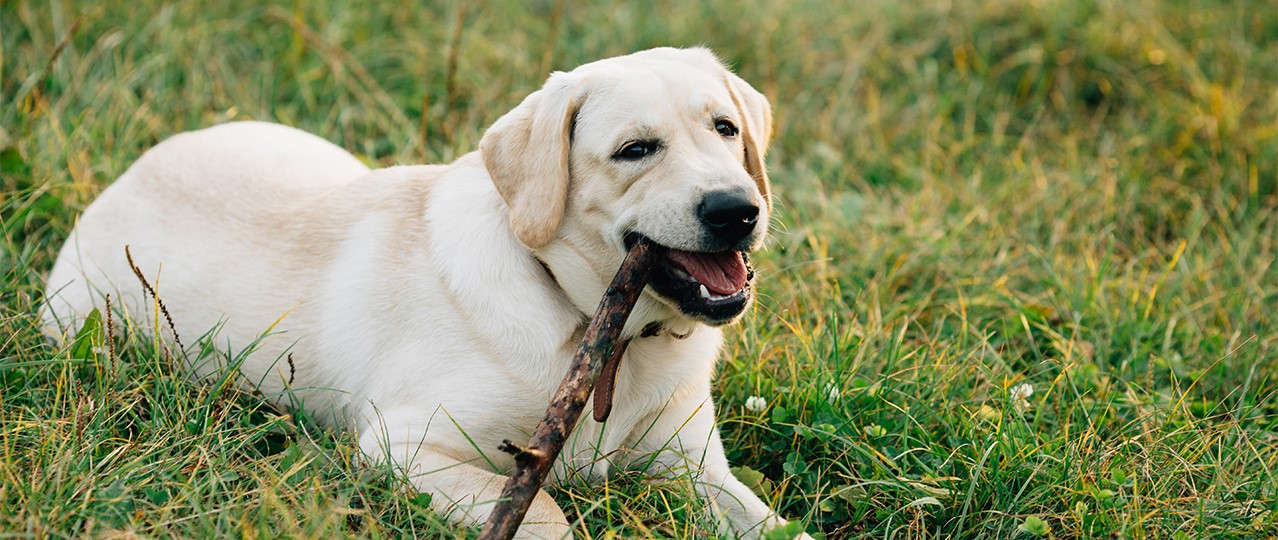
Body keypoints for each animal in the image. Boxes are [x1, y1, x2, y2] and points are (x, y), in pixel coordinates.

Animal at [45, 47, 812, 540]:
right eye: (635, 150)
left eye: (725, 129)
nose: (736, 210)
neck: (604, 338)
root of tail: (130, 170)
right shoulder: (405, 442)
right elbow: (546, 514)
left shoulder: (698, 470)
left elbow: (780, 527)